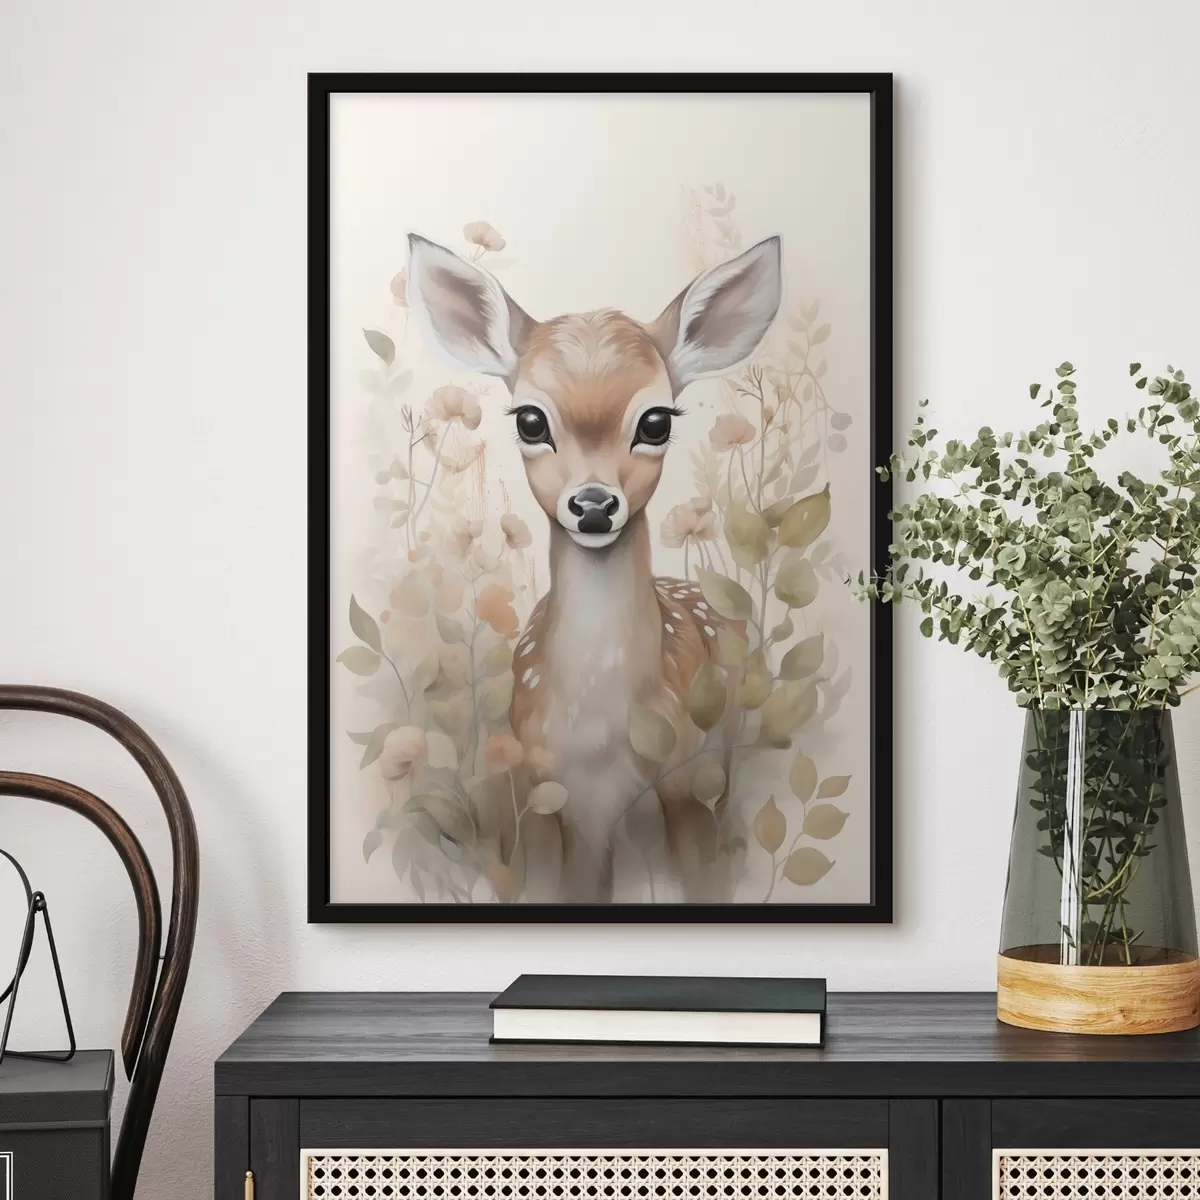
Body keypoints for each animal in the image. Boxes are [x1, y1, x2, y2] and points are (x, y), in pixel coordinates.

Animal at [406, 231, 783, 903]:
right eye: (530, 419)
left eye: (656, 421)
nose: (593, 506)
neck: (598, 733)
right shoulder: (552, 792)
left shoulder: (686, 777)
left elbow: (703, 878)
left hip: (722, 752)